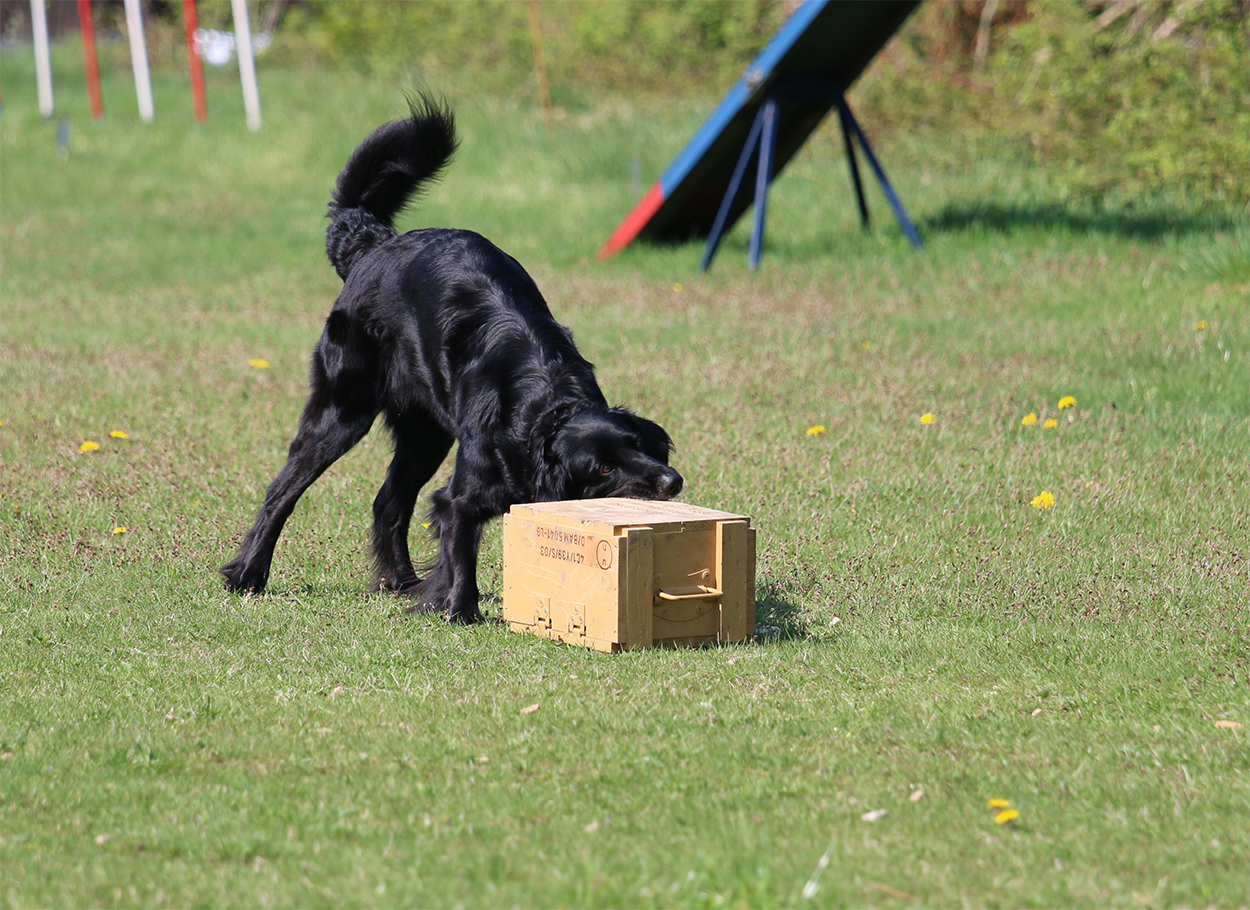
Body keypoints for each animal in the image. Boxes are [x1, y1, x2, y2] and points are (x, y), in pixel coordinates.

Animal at [221, 94, 683, 624]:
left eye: (637, 445)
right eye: (603, 469)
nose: (672, 481)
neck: (543, 410)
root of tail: (373, 243)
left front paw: (434, 597)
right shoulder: (463, 494)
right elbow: (458, 542)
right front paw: (460, 611)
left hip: (427, 434)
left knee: (388, 502)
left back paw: (399, 581)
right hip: (342, 412)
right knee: (282, 492)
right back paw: (248, 573)